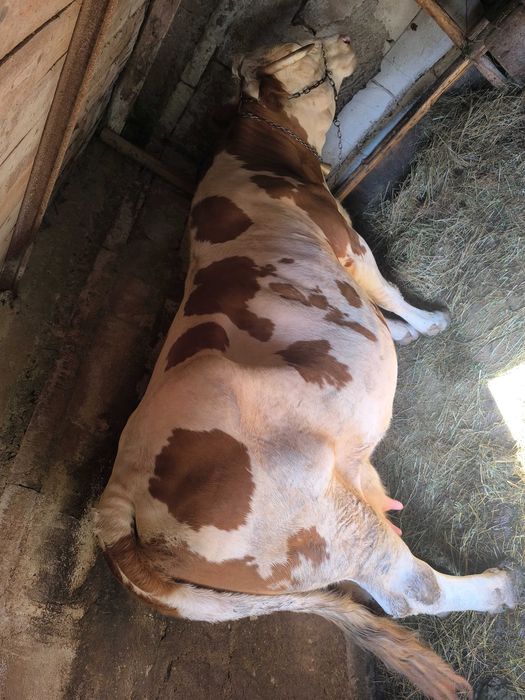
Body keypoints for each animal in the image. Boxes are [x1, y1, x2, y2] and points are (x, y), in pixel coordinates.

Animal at [95, 35, 519, 699]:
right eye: (300, 47)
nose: (342, 36)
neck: (264, 159)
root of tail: (121, 492)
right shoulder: (343, 236)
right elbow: (383, 286)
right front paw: (428, 323)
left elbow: (375, 306)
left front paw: (402, 334)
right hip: (322, 523)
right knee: (410, 590)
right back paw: (501, 586)